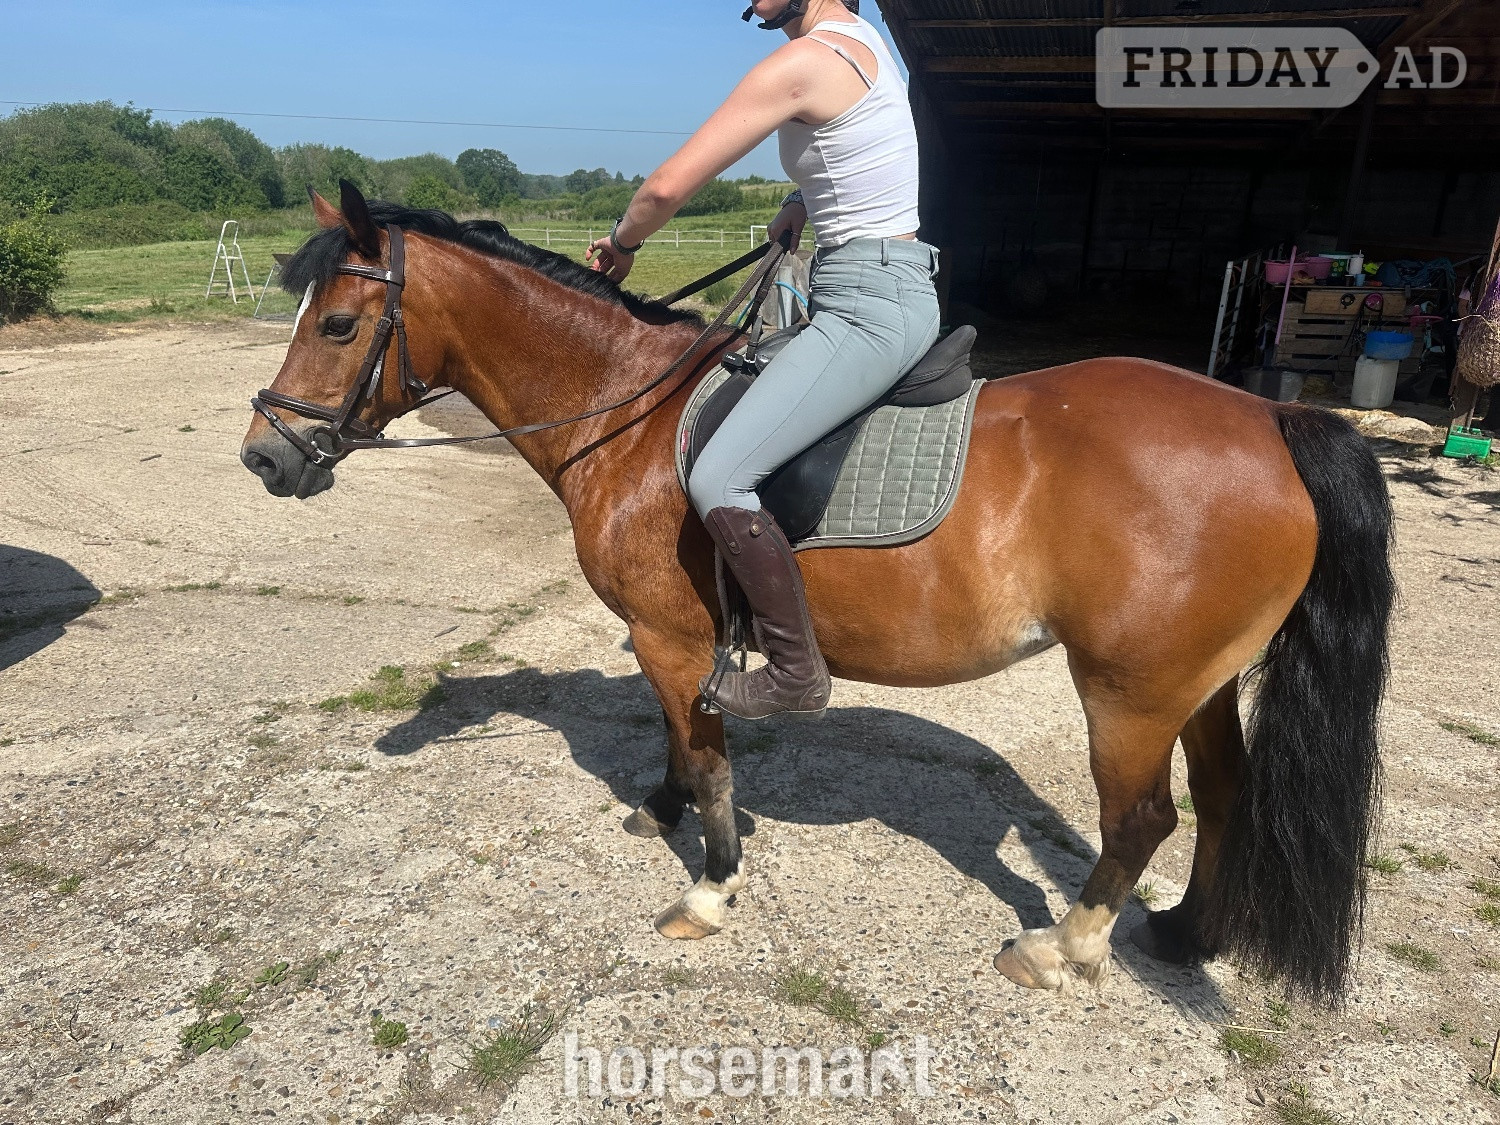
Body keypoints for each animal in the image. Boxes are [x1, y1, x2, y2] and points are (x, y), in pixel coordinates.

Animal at [241, 183, 1394, 1002]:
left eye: (337, 325)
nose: (264, 457)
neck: (625, 407)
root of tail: (1271, 420)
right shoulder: (675, 644)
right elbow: (681, 741)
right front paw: (656, 809)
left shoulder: (671, 636)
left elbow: (710, 758)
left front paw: (709, 887)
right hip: (1199, 681)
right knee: (1226, 792)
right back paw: (1189, 934)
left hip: (1130, 689)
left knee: (1142, 819)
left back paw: (1062, 947)